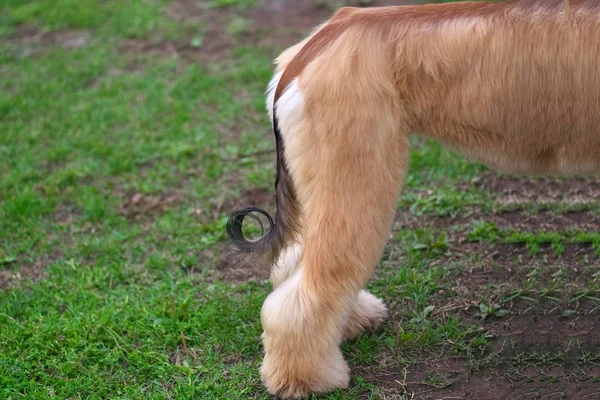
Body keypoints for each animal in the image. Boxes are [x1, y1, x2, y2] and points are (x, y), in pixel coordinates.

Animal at [226, 1, 600, 398]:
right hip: (357, 175)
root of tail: (315, 46)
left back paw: (352, 322)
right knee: (311, 287)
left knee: (296, 263)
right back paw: (304, 378)